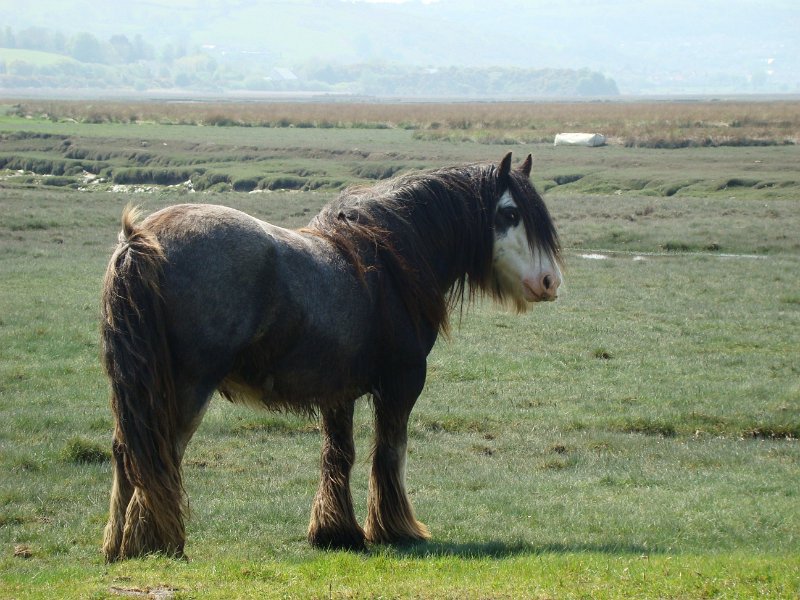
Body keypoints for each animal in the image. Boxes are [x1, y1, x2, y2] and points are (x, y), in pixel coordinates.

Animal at [100, 151, 562, 561]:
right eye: (510, 214)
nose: (550, 282)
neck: (389, 263)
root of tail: (140, 240)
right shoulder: (402, 384)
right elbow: (390, 452)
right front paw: (395, 529)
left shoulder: (338, 392)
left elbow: (339, 454)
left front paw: (335, 532)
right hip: (188, 388)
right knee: (158, 452)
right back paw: (156, 543)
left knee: (126, 451)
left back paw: (118, 547)